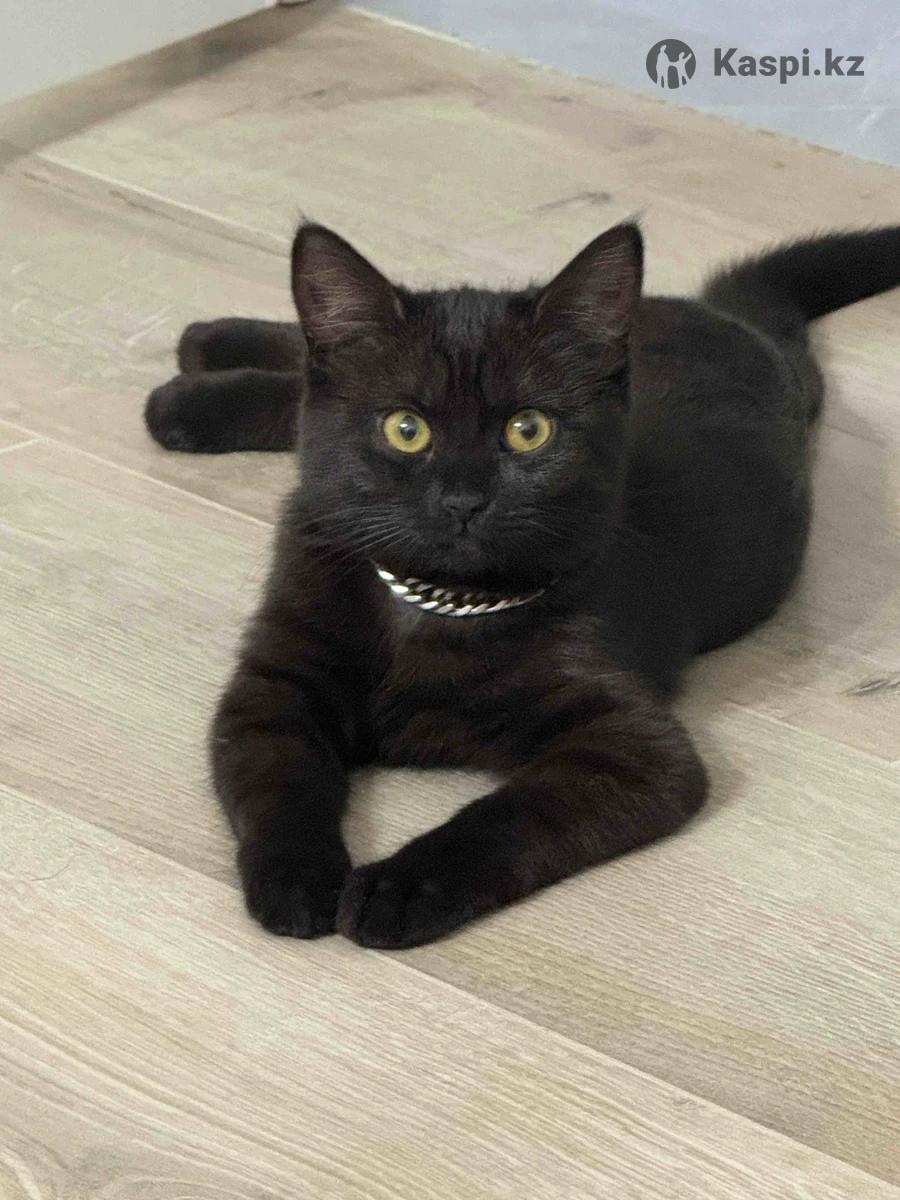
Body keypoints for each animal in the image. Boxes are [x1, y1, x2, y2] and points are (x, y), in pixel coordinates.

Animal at [146, 222, 900, 948]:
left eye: (528, 430)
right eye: (405, 429)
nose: (463, 500)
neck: (434, 602)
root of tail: (740, 327)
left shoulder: (634, 750)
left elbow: (505, 816)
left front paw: (396, 890)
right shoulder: (274, 687)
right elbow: (281, 784)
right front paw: (297, 882)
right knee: (306, 373)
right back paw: (202, 360)